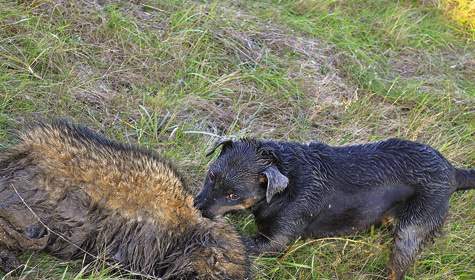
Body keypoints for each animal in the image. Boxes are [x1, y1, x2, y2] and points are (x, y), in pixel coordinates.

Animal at [194, 138, 475, 280]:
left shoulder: (276, 241)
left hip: (411, 230)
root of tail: (453, 172)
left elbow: (240, 241)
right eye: (211, 175)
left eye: (233, 195)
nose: (196, 207)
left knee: (399, 268)